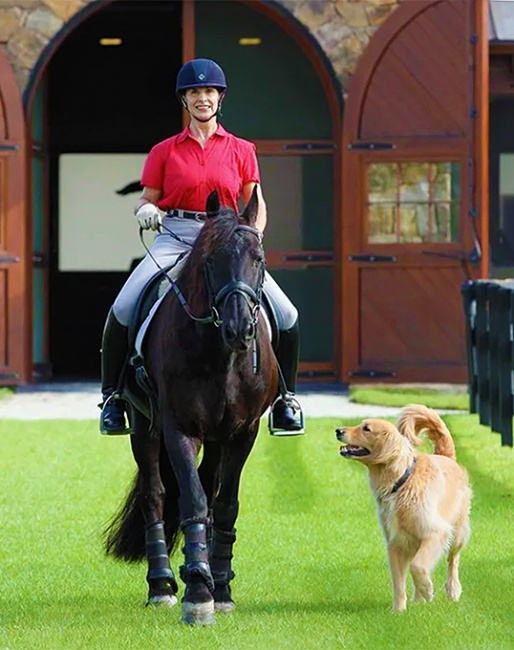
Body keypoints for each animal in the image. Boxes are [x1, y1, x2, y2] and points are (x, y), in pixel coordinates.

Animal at [103, 186, 276, 624]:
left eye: (259, 258)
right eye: (212, 260)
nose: (239, 330)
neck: (219, 353)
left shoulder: (243, 432)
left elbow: (224, 504)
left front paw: (221, 589)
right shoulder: (179, 427)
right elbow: (192, 500)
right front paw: (197, 593)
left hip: (216, 438)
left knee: (210, 488)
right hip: (143, 426)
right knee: (155, 496)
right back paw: (162, 586)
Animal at [334, 402, 470, 612]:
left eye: (366, 428)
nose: (338, 430)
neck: (401, 481)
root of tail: (445, 456)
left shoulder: (435, 532)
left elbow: (418, 566)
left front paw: (427, 589)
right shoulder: (396, 543)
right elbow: (399, 581)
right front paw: (399, 611)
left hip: (457, 531)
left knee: (453, 559)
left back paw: (452, 590)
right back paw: (418, 600)